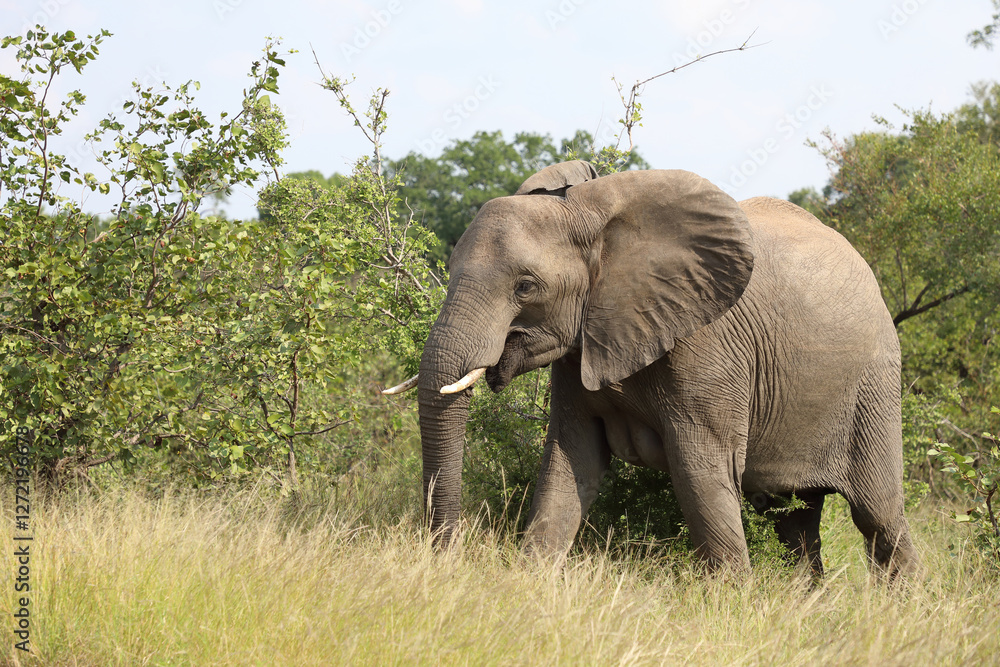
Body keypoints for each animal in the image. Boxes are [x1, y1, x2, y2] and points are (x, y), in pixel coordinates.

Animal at [384, 160, 919, 577]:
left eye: (525, 287)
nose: (447, 558)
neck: (594, 218)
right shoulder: (582, 347)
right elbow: (569, 463)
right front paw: (526, 583)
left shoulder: (706, 346)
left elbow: (701, 475)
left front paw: (732, 607)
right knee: (793, 519)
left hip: (873, 384)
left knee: (878, 516)